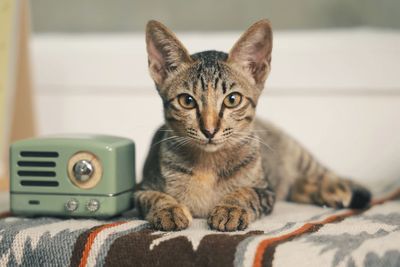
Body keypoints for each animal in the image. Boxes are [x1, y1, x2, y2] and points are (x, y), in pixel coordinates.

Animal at [134, 19, 372, 232]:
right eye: (187, 101)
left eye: (232, 99)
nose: (209, 130)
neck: (208, 165)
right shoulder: (139, 189)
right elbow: (151, 197)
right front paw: (168, 209)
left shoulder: (266, 191)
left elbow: (247, 193)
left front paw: (231, 208)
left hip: (299, 157)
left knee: (325, 175)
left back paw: (335, 189)